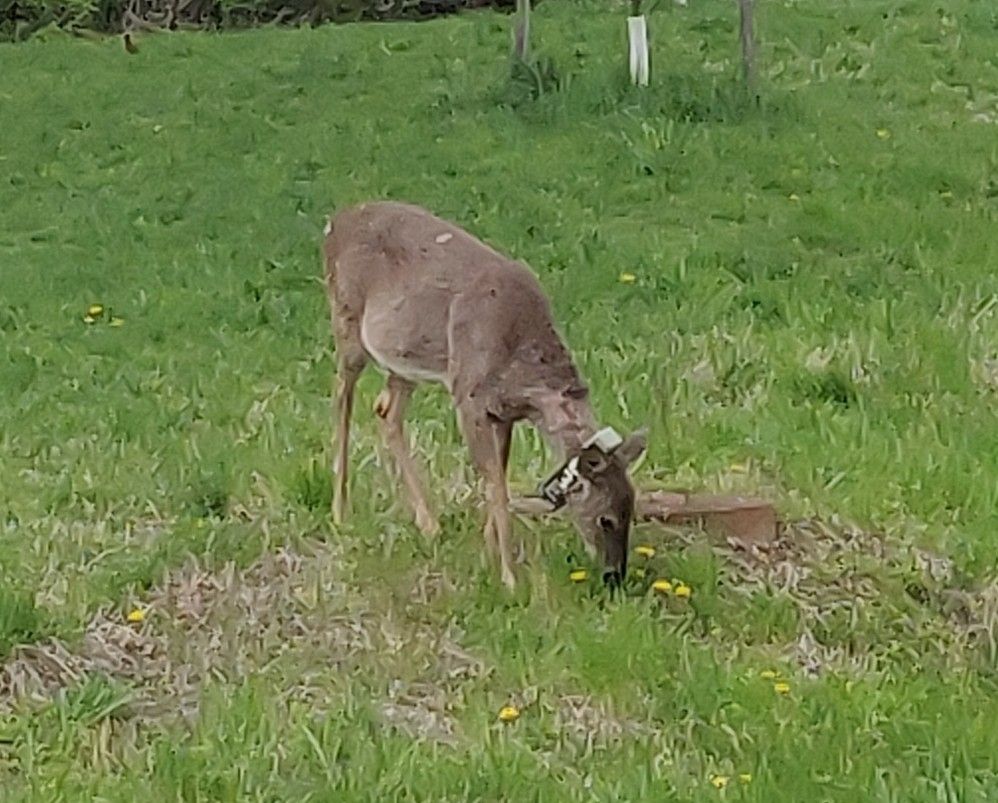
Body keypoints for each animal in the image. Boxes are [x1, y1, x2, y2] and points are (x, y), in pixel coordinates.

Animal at [323, 201, 647, 590]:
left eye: (632, 511)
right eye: (606, 519)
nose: (615, 576)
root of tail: (337, 219)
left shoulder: (503, 412)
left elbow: (499, 479)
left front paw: (488, 556)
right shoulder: (469, 397)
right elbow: (497, 487)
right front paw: (509, 578)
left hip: (403, 359)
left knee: (386, 410)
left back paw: (429, 524)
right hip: (346, 319)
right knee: (341, 400)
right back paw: (340, 512)